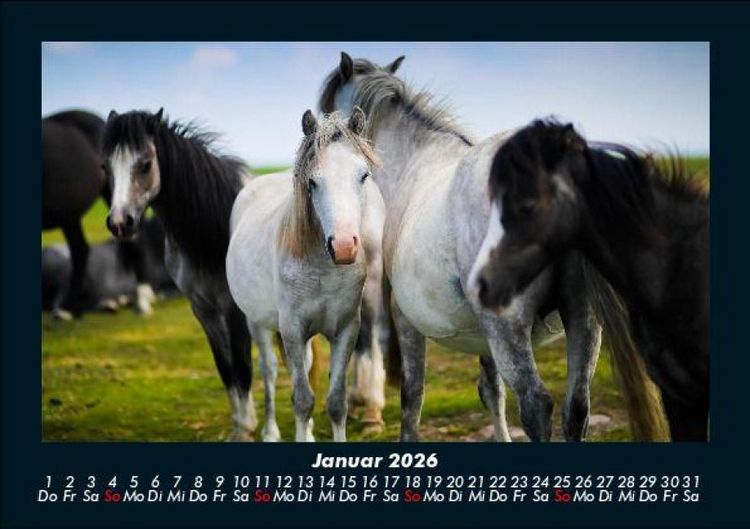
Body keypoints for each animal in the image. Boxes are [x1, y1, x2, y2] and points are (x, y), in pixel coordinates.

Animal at [102, 108, 258, 441]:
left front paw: (246, 429)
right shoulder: (204, 311)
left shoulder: (234, 311)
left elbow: (242, 368)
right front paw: (240, 426)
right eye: (105, 167)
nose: (120, 223)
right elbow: (226, 369)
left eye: (145, 164)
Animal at [226, 109, 386, 442]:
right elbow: (302, 399)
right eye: (312, 181)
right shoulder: (292, 330)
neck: (323, 270)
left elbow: (336, 402)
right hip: (257, 323)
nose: (343, 246)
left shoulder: (346, 329)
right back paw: (270, 432)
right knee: (270, 371)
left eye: (363, 176)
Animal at [319, 52, 604, 442]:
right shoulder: (483, 336)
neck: (416, 159)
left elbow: (412, 395)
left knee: (536, 404)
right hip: (582, 320)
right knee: (576, 409)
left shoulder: (405, 318)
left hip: (507, 328)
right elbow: (491, 391)